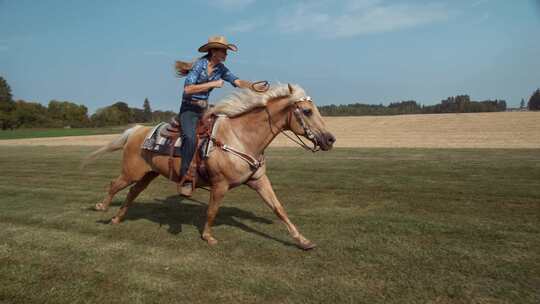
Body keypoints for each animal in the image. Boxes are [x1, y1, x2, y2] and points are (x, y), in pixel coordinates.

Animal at [85, 83, 334, 249]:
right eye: (307, 111)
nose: (330, 139)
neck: (240, 137)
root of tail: (137, 130)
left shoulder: (259, 180)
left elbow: (279, 208)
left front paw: (302, 240)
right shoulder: (220, 184)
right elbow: (212, 210)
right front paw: (208, 236)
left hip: (148, 174)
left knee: (133, 192)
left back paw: (117, 218)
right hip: (131, 172)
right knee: (114, 185)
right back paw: (101, 208)